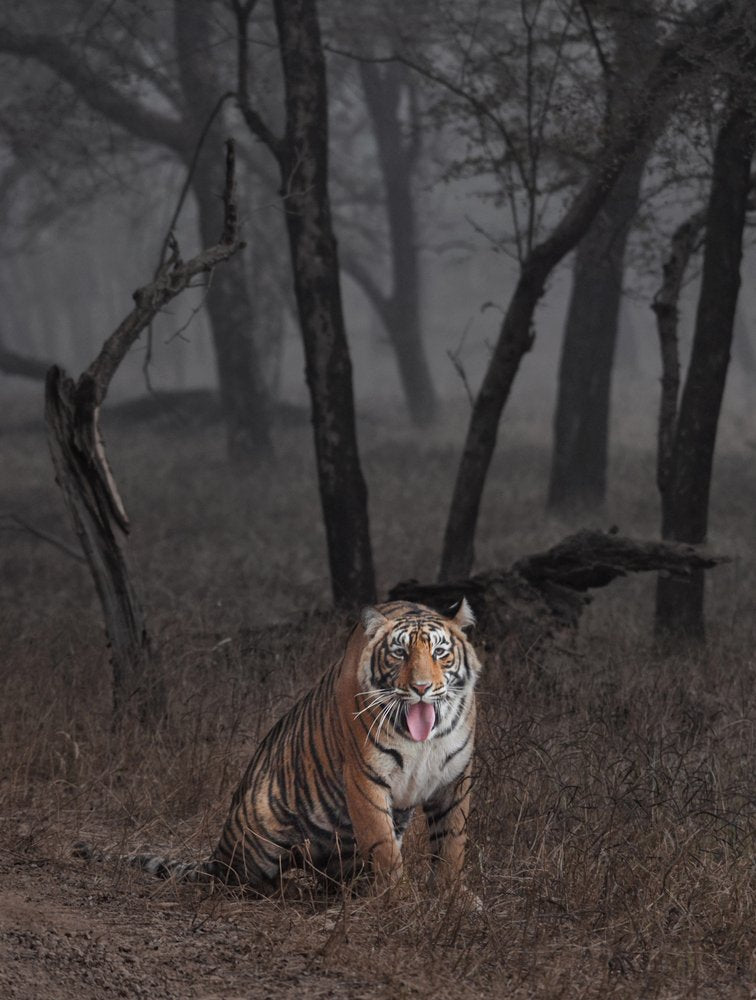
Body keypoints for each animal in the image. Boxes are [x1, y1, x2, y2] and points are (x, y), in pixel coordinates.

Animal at [75, 599, 482, 896]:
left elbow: (451, 843)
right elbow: (384, 848)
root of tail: (217, 854)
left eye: (440, 653)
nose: (421, 688)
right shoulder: (365, 778)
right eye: (399, 654)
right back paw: (292, 891)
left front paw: (452, 899)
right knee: (246, 880)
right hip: (264, 825)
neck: (423, 739)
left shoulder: (454, 778)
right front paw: (400, 901)